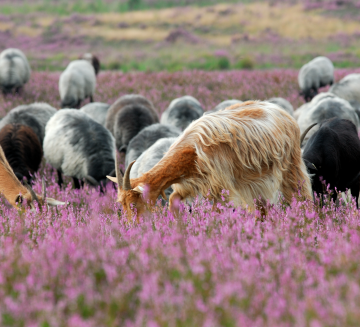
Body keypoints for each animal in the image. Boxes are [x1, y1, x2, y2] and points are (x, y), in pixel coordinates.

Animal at [107, 101, 312, 222]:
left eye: (134, 203)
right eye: (122, 205)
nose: (133, 225)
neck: (192, 150)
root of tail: (282, 112)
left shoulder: (220, 187)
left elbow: (217, 211)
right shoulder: (191, 183)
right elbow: (173, 201)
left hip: (291, 165)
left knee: (300, 192)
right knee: (262, 207)